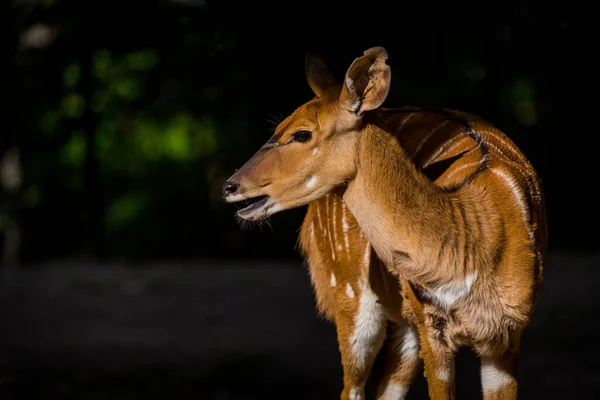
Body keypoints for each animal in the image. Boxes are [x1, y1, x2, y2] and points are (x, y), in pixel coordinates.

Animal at [221, 47, 548, 400]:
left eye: (301, 134)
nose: (230, 186)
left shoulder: (506, 336)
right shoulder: (432, 328)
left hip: (402, 325)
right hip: (353, 298)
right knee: (352, 387)